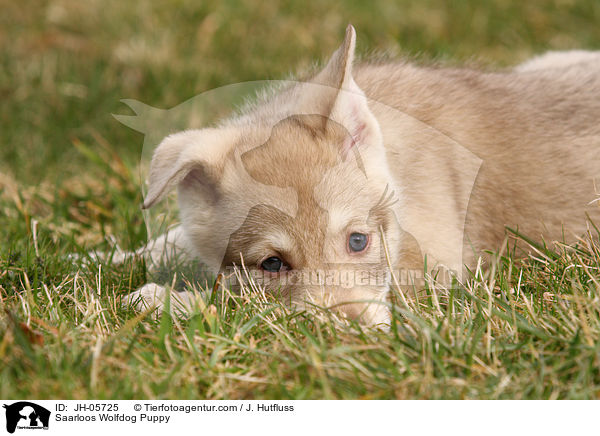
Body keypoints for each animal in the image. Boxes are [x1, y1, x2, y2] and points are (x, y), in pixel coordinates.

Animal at [123, 23, 600, 324]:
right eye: (272, 263)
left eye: (358, 241)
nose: (353, 329)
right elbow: (166, 244)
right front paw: (113, 259)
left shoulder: (435, 271)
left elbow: (237, 305)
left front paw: (163, 300)